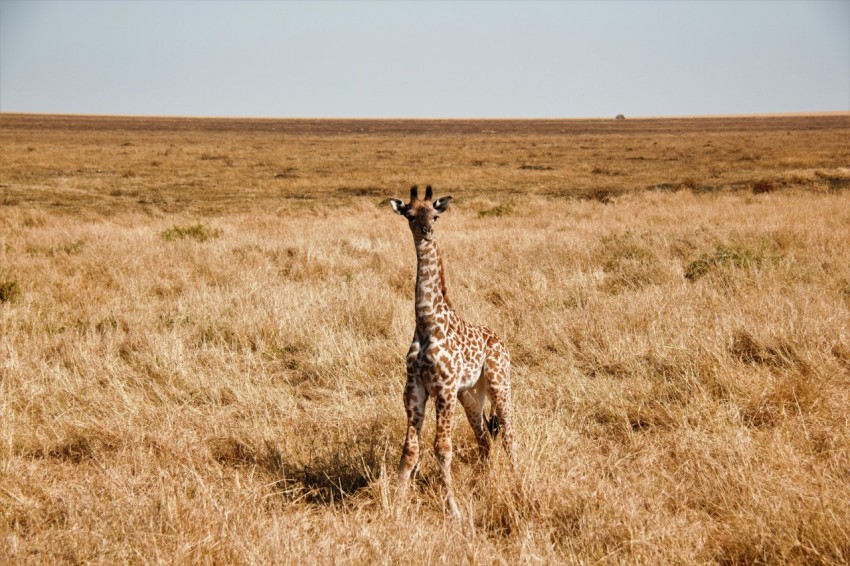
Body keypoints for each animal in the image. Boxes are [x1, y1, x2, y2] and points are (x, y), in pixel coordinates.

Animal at [389, 185, 515, 519]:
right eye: (410, 215)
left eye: (434, 215)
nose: (427, 231)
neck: (426, 322)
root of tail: (501, 341)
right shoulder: (414, 388)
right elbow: (411, 449)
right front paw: (397, 506)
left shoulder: (444, 388)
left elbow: (442, 449)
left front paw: (454, 509)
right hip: (470, 394)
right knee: (484, 438)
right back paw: (485, 481)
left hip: (499, 383)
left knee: (508, 432)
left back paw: (516, 481)